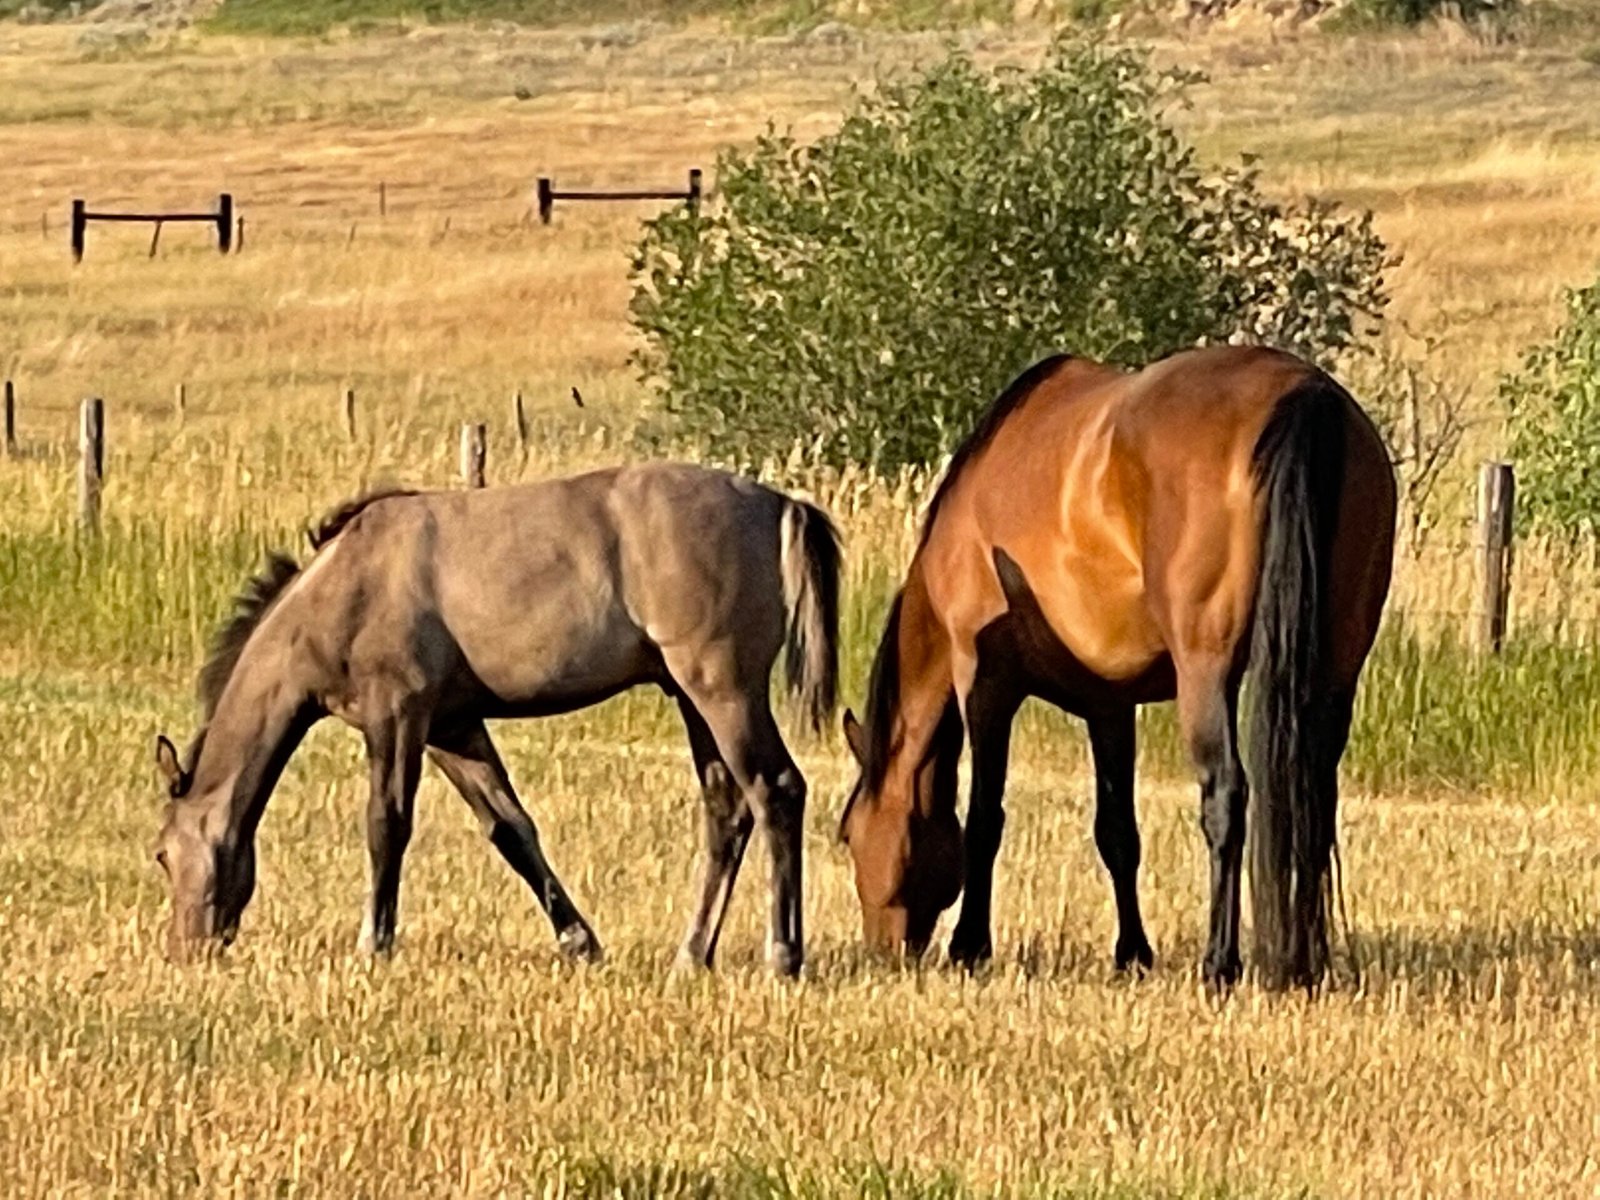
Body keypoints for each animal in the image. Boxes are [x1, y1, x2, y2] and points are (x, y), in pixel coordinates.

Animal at [152, 463, 840, 977]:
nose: (186, 949)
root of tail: (779, 504)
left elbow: (386, 825)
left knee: (776, 791)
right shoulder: (452, 730)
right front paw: (579, 942)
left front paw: (374, 943)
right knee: (727, 812)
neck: (342, 585)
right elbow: (511, 829)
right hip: (691, 699)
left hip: (724, 692)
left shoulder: (396, 715)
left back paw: (784, 955)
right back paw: (692, 955)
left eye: (160, 854)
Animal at [838, 345, 1395, 990]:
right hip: (1334, 674)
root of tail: (1305, 392)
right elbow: (1117, 833)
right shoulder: (1109, 705)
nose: (882, 952)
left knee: (1226, 796)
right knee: (1312, 803)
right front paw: (1132, 952)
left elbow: (984, 818)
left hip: (1206, 675)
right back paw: (1306, 964)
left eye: (848, 835)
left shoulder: (987, 685)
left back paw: (1220, 964)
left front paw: (970, 945)